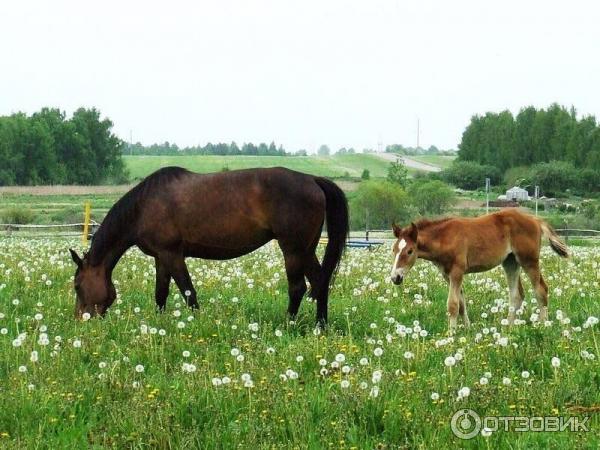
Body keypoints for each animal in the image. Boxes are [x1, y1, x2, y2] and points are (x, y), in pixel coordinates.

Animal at [68, 167, 350, 326]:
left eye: (77, 286)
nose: (81, 320)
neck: (144, 206)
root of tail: (313, 180)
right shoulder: (161, 257)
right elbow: (160, 294)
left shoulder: (172, 254)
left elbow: (188, 293)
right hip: (307, 250)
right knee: (321, 282)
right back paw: (320, 326)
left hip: (293, 250)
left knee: (298, 287)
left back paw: (289, 325)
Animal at [392, 209, 568, 328]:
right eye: (394, 250)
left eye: (409, 251)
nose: (395, 278)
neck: (444, 238)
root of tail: (535, 219)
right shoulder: (447, 274)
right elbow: (461, 303)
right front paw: (467, 329)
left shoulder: (457, 271)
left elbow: (453, 304)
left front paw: (451, 335)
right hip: (510, 262)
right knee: (517, 295)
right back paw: (509, 327)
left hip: (528, 260)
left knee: (541, 289)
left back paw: (543, 325)